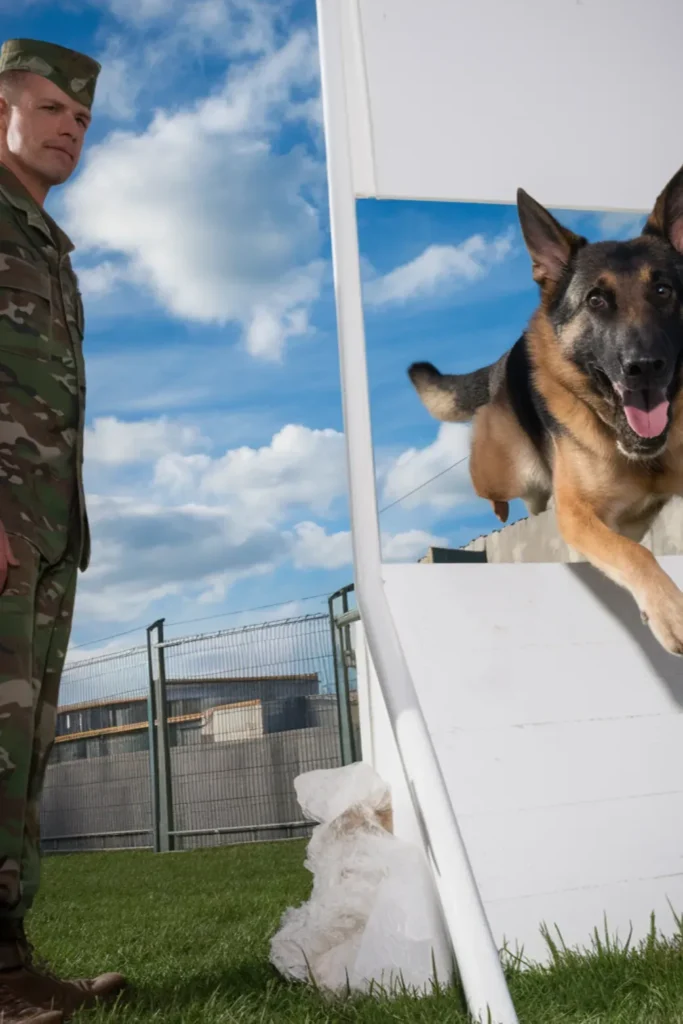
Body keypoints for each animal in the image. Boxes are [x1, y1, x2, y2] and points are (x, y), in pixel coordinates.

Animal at [409, 159, 683, 655]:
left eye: (664, 291)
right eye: (596, 300)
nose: (644, 367)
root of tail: (505, 360)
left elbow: (632, 547)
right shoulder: (576, 514)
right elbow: (634, 553)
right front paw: (671, 612)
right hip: (507, 467)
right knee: (490, 481)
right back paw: (503, 508)